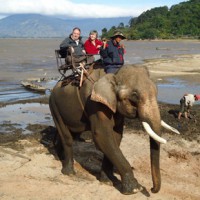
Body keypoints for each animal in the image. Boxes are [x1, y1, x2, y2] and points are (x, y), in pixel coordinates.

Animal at [48, 64, 180, 195]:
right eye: (135, 95)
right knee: (67, 137)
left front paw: (107, 181)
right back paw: (69, 173)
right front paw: (135, 189)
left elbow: (116, 136)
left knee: (72, 133)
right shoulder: (94, 104)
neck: (114, 75)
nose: (152, 189)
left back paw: (59, 156)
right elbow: (102, 135)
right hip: (54, 106)